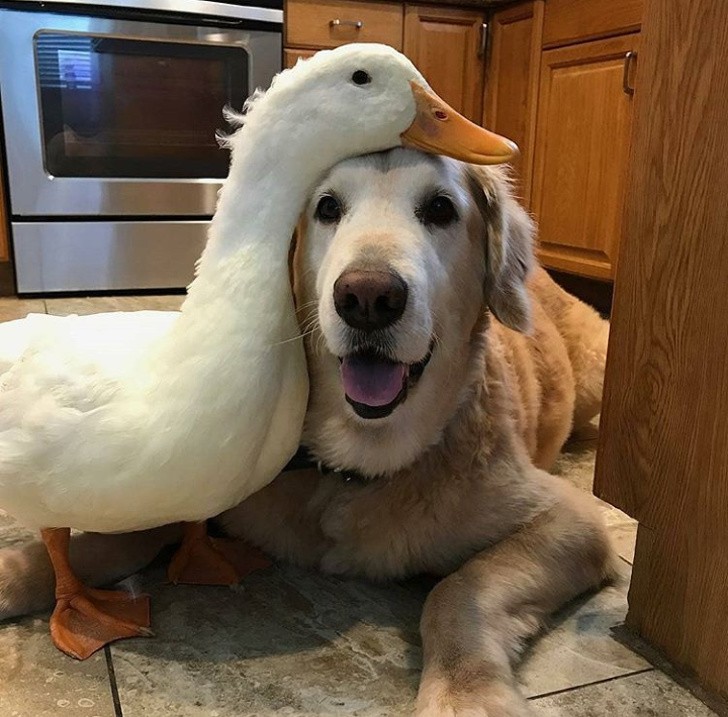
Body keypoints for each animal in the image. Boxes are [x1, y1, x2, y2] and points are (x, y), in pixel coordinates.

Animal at [0, 148, 616, 712]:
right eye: (327, 207)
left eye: (441, 208)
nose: (367, 297)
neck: (352, 469)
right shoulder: (186, 487)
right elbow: (108, 540)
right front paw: (16, 573)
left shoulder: (572, 520)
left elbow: (457, 588)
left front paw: (467, 695)